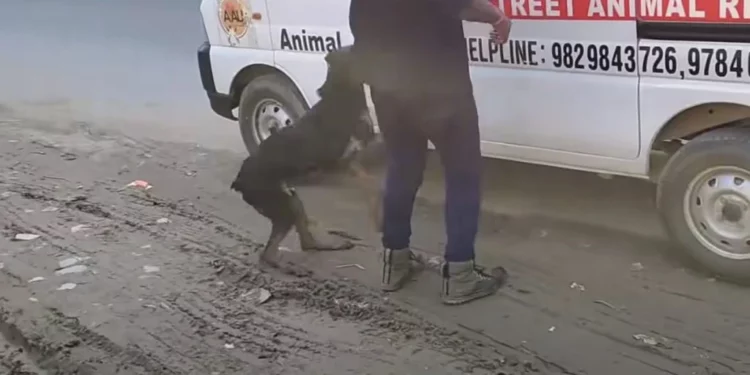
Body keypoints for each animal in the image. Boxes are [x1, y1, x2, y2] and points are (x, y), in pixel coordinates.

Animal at [232, 46, 378, 268]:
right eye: (355, 52)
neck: (342, 91)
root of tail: (239, 180)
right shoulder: (341, 161)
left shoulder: (351, 160)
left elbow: (369, 181)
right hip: (282, 210)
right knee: (268, 254)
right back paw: (288, 267)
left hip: (292, 201)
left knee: (306, 243)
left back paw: (329, 245)